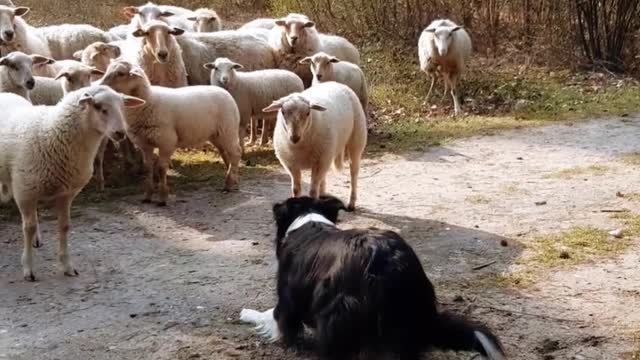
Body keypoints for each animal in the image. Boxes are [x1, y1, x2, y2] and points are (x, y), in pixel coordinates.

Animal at [0, 85, 145, 282]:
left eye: (122, 106)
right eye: (98, 107)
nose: (120, 133)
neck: (51, 133)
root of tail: (5, 94)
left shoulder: (65, 193)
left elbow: (64, 226)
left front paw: (67, 266)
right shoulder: (25, 192)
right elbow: (28, 228)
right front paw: (28, 269)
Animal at [99, 59, 241, 205]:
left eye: (121, 73)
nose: (100, 86)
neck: (148, 101)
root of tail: (224, 91)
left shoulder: (166, 142)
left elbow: (161, 169)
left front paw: (162, 197)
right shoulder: (145, 144)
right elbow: (148, 168)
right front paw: (147, 196)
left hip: (228, 130)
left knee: (236, 153)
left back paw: (229, 183)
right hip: (216, 135)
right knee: (226, 154)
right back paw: (232, 179)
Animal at [242, 197, 508, 360]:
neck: (308, 219)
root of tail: (392, 264)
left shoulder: (288, 299)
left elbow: (272, 316)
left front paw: (247, 313)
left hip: (336, 314)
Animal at [262, 81, 368, 211]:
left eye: (308, 113)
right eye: (283, 112)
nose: (294, 137)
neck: (300, 146)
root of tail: (336, 83)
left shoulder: (319, 162)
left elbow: (312, 191)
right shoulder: (292, 164)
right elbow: (296, 189)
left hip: (356, 141)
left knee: (354, 172)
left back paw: (351, 202)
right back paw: (322, 193)